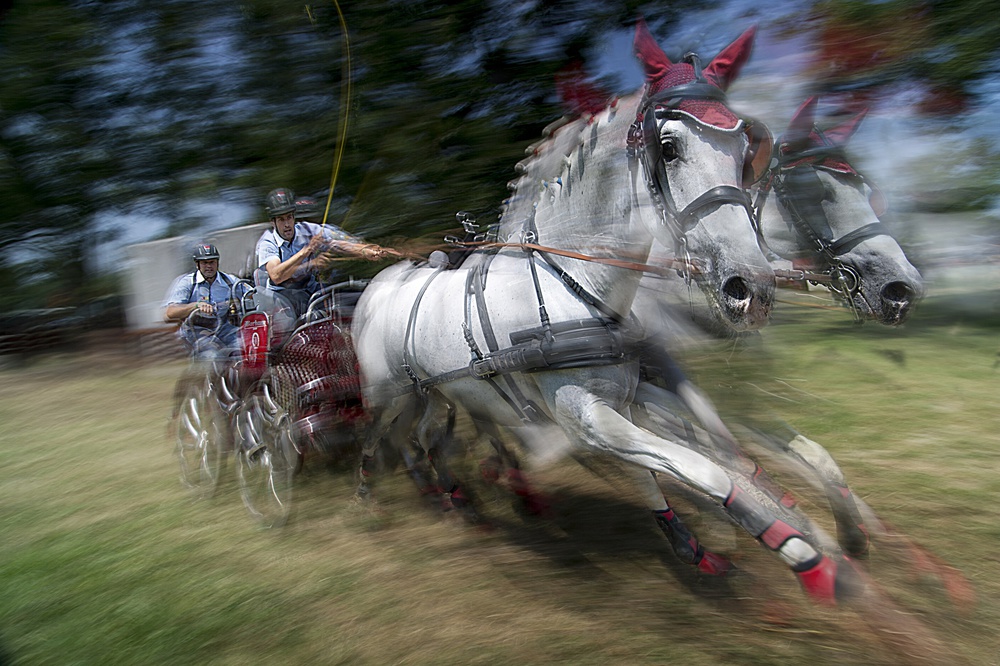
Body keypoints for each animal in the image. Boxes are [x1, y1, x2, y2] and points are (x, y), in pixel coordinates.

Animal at [354, 22, 860, 600]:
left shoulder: (628, 396)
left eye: (745, 151)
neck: (577, 288)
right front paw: (798, 550)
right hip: (387, 390)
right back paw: (377, 497)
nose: (749, 288)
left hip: (444, 390)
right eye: (669, 148)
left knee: (430, 436)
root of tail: (381, 281)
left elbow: (685, 462)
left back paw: (466, 497)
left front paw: (700, 540)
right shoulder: (584, 415)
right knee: (379, 435)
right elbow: (707, 469)